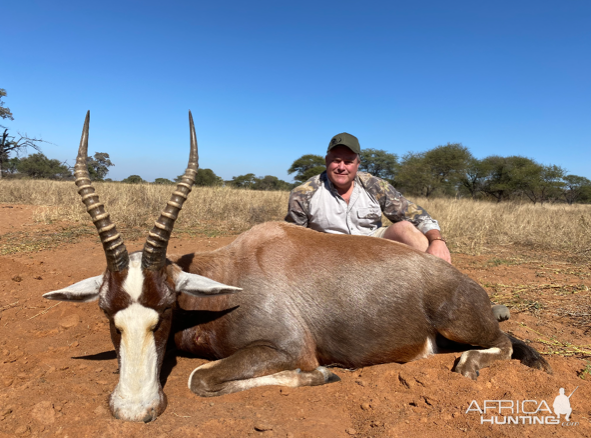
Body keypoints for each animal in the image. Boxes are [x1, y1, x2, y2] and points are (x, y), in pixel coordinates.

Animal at [44, 112, 552, 420]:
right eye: (106, 311)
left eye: (167, 307)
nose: (134, 410)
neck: (231, 278)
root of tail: (465, 284)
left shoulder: (288, 347)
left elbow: (199, 378)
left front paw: (325, 375)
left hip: (462, 324)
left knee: (504, 342)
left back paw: (469, 364)